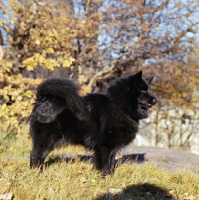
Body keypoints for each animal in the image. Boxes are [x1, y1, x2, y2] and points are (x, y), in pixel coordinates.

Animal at [29, 71, 157, 174]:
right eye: (142, 90)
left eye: (149, 90)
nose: (155, 100)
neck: (120, 105)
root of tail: (41, 100)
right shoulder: (105, 146)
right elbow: (105, 165)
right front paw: (104, 178)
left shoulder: (113, 147)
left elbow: (111, 164)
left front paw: (110, 177)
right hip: (49, 139)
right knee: (35, 155)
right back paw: (36, 173)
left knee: (38, 156)